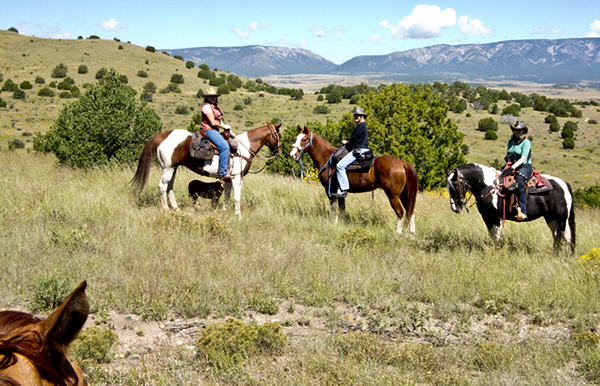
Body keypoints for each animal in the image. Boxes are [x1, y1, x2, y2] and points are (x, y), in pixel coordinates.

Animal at [132, 122, 282, 219]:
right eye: (278, 135)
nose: (279, 151)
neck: (243, 148)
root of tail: (163, 134)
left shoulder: (228, 179)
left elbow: (227, 196)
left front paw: (224, 211)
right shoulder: (237, 177)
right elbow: (236, 197)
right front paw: (238, 216)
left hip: (173, 168)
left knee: (169, 187)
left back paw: (176, 209)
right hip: (168, 168)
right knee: (162, 186)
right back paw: (166, 209)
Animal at [448, 163, 576, 253]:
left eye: (455, 186)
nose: (455, 208)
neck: (489, 186)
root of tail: (565, 184)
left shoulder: (496, 217)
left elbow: (497, 236)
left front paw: (497, 251)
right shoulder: (487, 217)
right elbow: (492, 235)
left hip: (562, 218)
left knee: (567, 236)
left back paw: (566, 256)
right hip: (550, 217)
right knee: (556, 235)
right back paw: (555, 253)